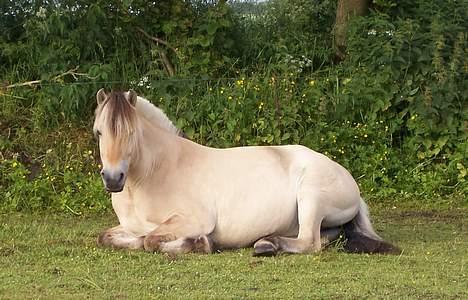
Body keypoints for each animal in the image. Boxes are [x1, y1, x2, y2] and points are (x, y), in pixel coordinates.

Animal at [93, 88, 400, 255]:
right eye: (98, 132)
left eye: (131, 133)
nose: (113, 179)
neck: (153, 175)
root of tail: (349, 180)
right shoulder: (128, 226)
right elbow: (108, 237)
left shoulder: (193, 220)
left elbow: (150, 240)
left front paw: (201, 244)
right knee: (321, 239)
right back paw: (267, 243)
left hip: (311, 197)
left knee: (309, 242)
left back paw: (267, 245)